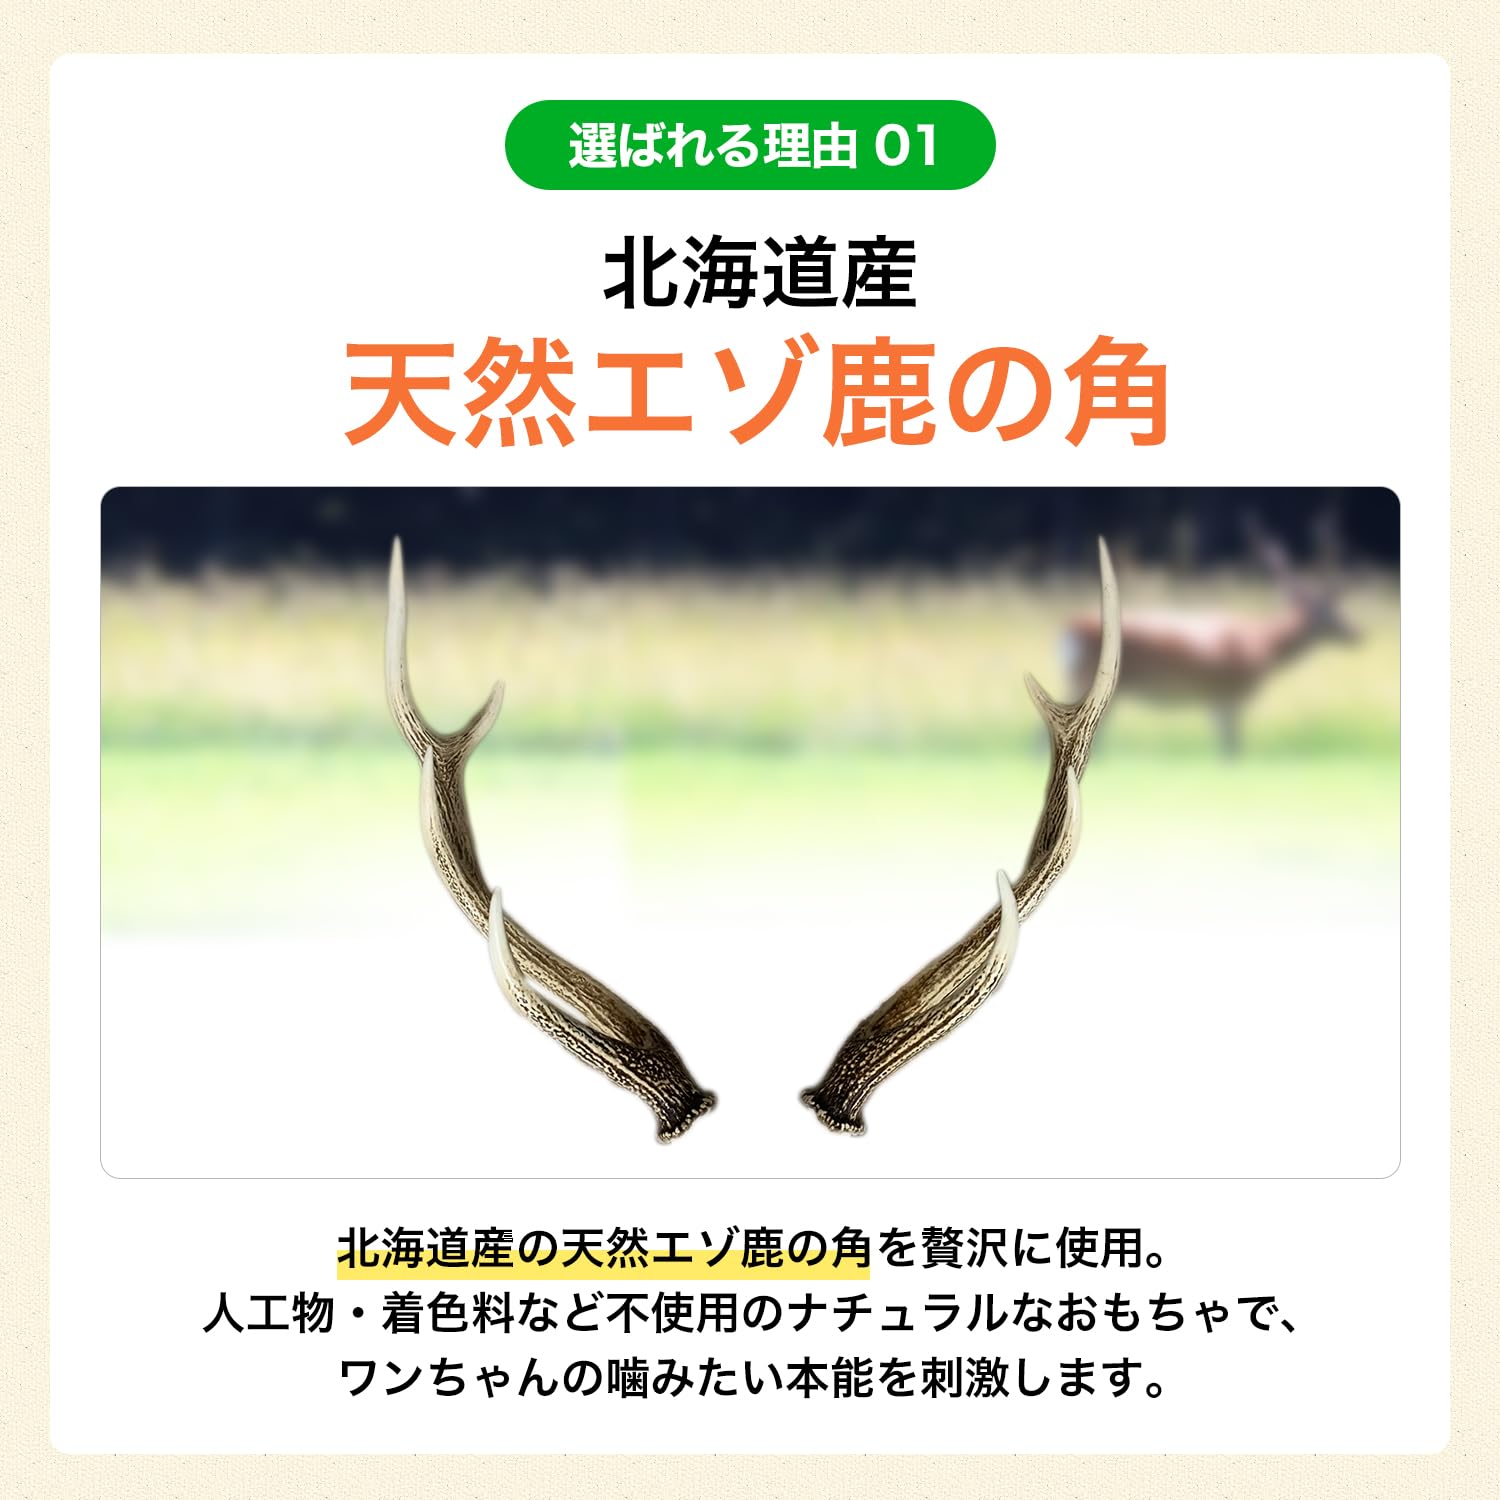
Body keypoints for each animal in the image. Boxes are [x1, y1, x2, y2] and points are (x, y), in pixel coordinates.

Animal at [1060, 521, 1359, 757]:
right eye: (1330, 611)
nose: (1357, 634)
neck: (1263, 646)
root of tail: (1071, 629)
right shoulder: (1229, 695)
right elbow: (1232, 750)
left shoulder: (1217, 701)